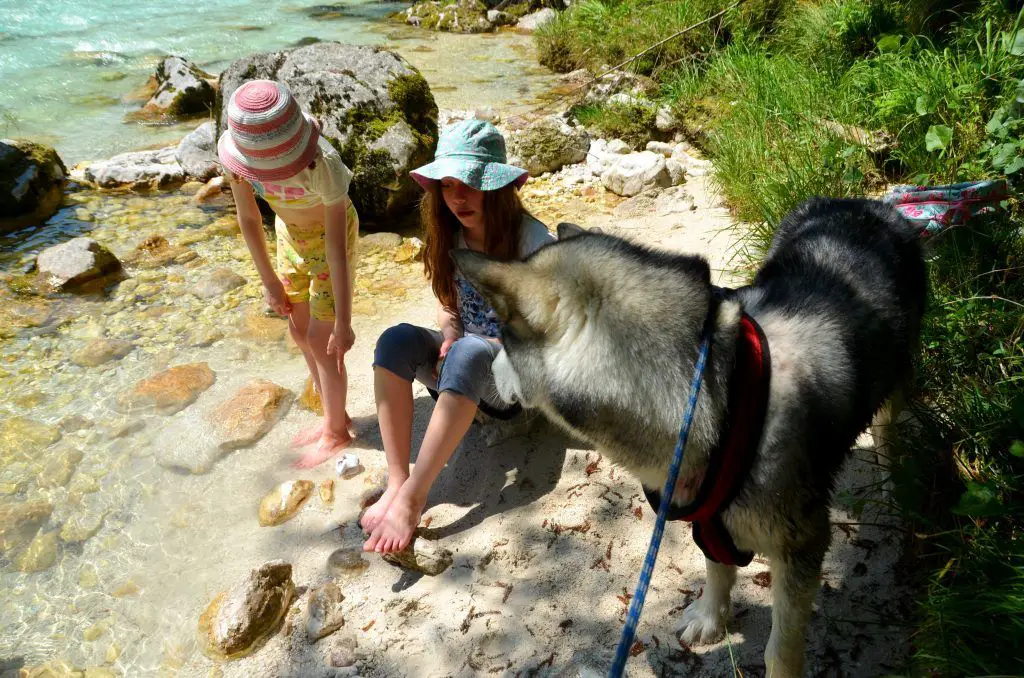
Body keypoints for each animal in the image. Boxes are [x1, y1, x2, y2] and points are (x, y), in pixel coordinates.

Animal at [454, 199, 929, 675]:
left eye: (501, 337)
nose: (486, 368)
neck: (715, 397)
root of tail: (869, 204)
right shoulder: (707, 517)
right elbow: (716, 566)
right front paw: (711, 616)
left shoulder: (802, 546)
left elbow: (782, 648)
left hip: (896, 384)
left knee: (887, 433)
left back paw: (893, 486)